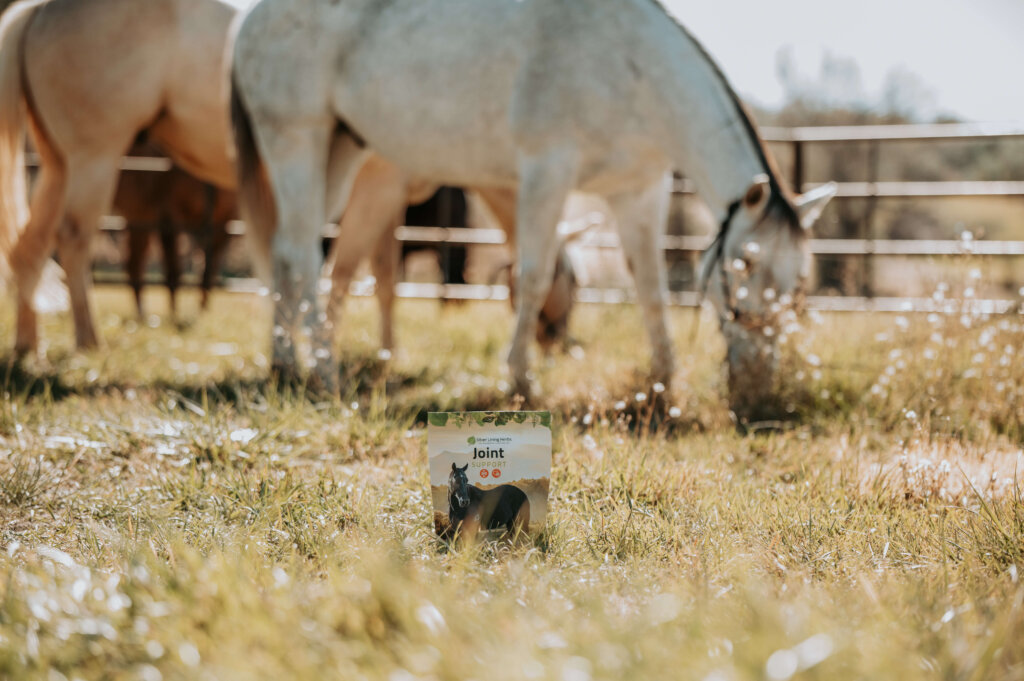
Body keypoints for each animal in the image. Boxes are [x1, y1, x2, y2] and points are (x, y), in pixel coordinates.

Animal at [0, 0, 580, 374]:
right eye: (572, 286)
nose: (562, 345)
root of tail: (40, 10)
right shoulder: (376, 188)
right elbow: (344, 271)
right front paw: (331, 345)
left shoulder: (388, 201)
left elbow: (384, 278)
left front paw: (384, 351)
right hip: (94, 157)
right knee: (73, 239)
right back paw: (88, 340)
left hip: (58, 163)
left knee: (29, 248)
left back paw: (29, 347)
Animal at [230, 0, 837, 403]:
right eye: (745, 265)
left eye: (799, 283)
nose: (757, 387)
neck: (628, 68)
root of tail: (250, 20)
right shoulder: (547, 172)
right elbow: (536, 273)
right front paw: (520, 379)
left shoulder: (639, 193)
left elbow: (652, 289)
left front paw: (664, 384)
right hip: (297, 140)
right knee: (304, 255)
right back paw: (323, 372)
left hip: (339, 150)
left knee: (286, 251)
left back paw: (285, 366)